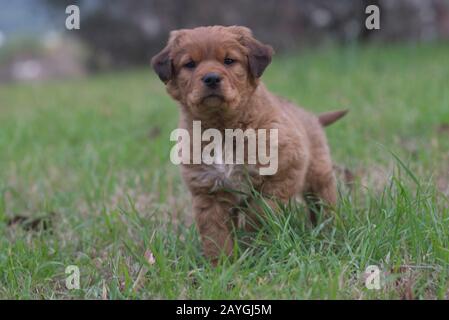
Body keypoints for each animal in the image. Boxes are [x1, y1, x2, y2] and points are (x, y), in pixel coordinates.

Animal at [151, 26, 346, 264]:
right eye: (190, 64)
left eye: (229, 60)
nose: (211, 78)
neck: (223, 128)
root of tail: (311, 117)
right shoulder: (208, 191)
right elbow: (215, 233)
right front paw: (222, 265)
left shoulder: (283, 172)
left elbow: (260, 211)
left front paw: (254, 242)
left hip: (318, 175)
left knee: (325, 203)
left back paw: (329, 230)